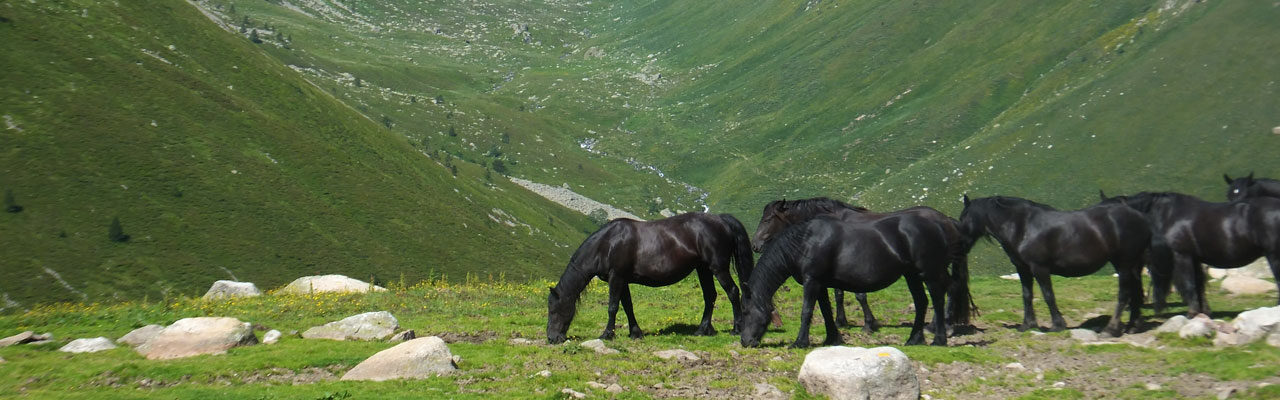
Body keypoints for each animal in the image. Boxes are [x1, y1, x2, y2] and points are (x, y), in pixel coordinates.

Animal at [545, 212, 752, 343]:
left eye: (553, 310)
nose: (552, 338)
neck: (607, 244)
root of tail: (721, 219)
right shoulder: (623, 280)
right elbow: (627, 306)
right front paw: (635, 333)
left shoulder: (616, 277)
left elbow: (613, 307)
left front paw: (607, 334)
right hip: (703, 269)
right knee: (710, 296)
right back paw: (703, 330)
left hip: (718, 268)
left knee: (733, 292)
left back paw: (736, 328)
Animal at [737, 214, 957, 348]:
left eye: (746, 311)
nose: (745, 341)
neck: (804, 242)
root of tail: (939, 224)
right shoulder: (821, 284)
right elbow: (826, 311)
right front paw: (832, 338)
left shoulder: (812, 281)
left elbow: (807, 311)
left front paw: (800, 342)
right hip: (911, 275)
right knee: (921, 302)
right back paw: (914, 339)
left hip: (928, 273)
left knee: (937, 299)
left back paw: (939, 339)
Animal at [962, 193, 1152, 333]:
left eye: (963, 217)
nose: (962, 245)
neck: (1022, 226)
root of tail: (1138, 215)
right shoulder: (1023, 269)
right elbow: (1027, 295)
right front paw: (1028, 325)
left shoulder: (1040, 268)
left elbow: (1048, 295)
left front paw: (1057, 325)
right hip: (1132, 265)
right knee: (1136, 292)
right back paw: (1132, 326)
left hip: (1124, 264)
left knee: (1125, 293)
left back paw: (1111, 329)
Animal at [1100, 191, 1280, 315]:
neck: (1168, 214)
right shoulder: (1195, 258)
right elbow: (1199, 285)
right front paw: (1204, 312)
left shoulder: (1182, 255)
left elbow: (1189, 284)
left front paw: (1192, 313)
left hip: (1274, 256)